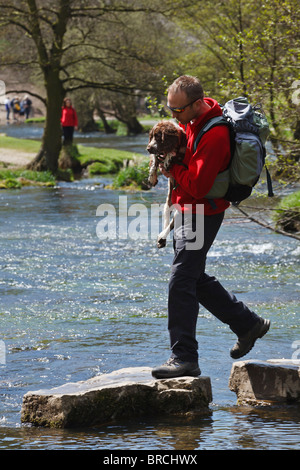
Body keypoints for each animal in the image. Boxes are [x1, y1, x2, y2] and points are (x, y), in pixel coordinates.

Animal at [146, 119, 186, 248]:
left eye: (158, 137)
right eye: (152, 136)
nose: (148, 148)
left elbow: (171, 154)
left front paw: (168, 158)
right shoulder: (156, 153)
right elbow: (154, 160)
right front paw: (152, 178)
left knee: (174, 221)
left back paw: (162, 236)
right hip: (169, 201)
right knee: (167, 216)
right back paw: (162, 239)